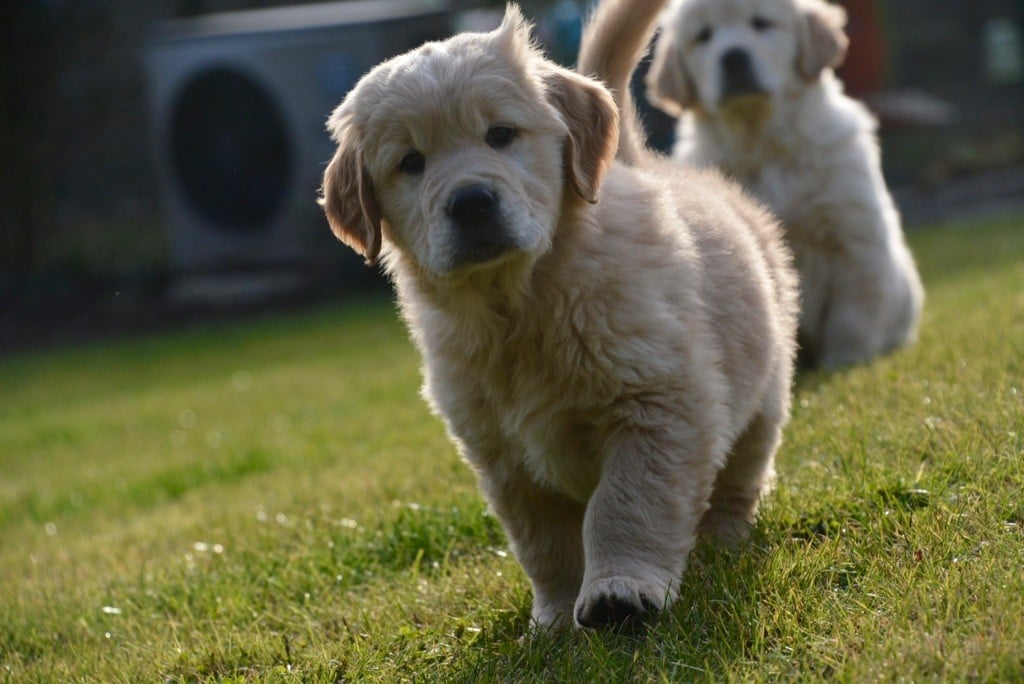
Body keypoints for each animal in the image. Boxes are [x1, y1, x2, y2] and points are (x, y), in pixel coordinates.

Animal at [319, 1, 798, 630]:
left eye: (501, 135)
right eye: (410, 163)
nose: (471, 202)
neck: (518, 304)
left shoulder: (660, 402)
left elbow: (626, 503)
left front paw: (621, 590)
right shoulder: (500, 452)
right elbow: (542, 538)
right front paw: (555, 614)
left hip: (762, 396)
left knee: (741, 471)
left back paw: (724, 535)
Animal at [647, 0, 929, 368]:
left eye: (761, 23)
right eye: (704, 36)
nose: (733, 57)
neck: (764, 141)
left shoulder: (853, 236)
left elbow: (851, 313)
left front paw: (845, 362)